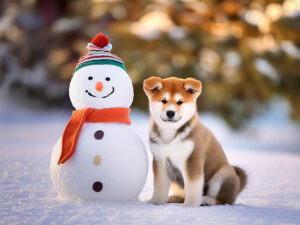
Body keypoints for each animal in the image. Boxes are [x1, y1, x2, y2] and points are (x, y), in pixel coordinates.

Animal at [143, 76, 246, 207]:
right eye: (164, 101)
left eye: (180, 102)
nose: (170, 112)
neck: (170, 134)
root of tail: (239, 185)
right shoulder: (160, 159)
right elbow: (160, 185)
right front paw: (156, 201)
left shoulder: (192, 158)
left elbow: (193, 186)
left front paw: (190, 204)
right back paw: (174, 198)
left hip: (223, 174)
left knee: (224, 200)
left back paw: (207, 200)